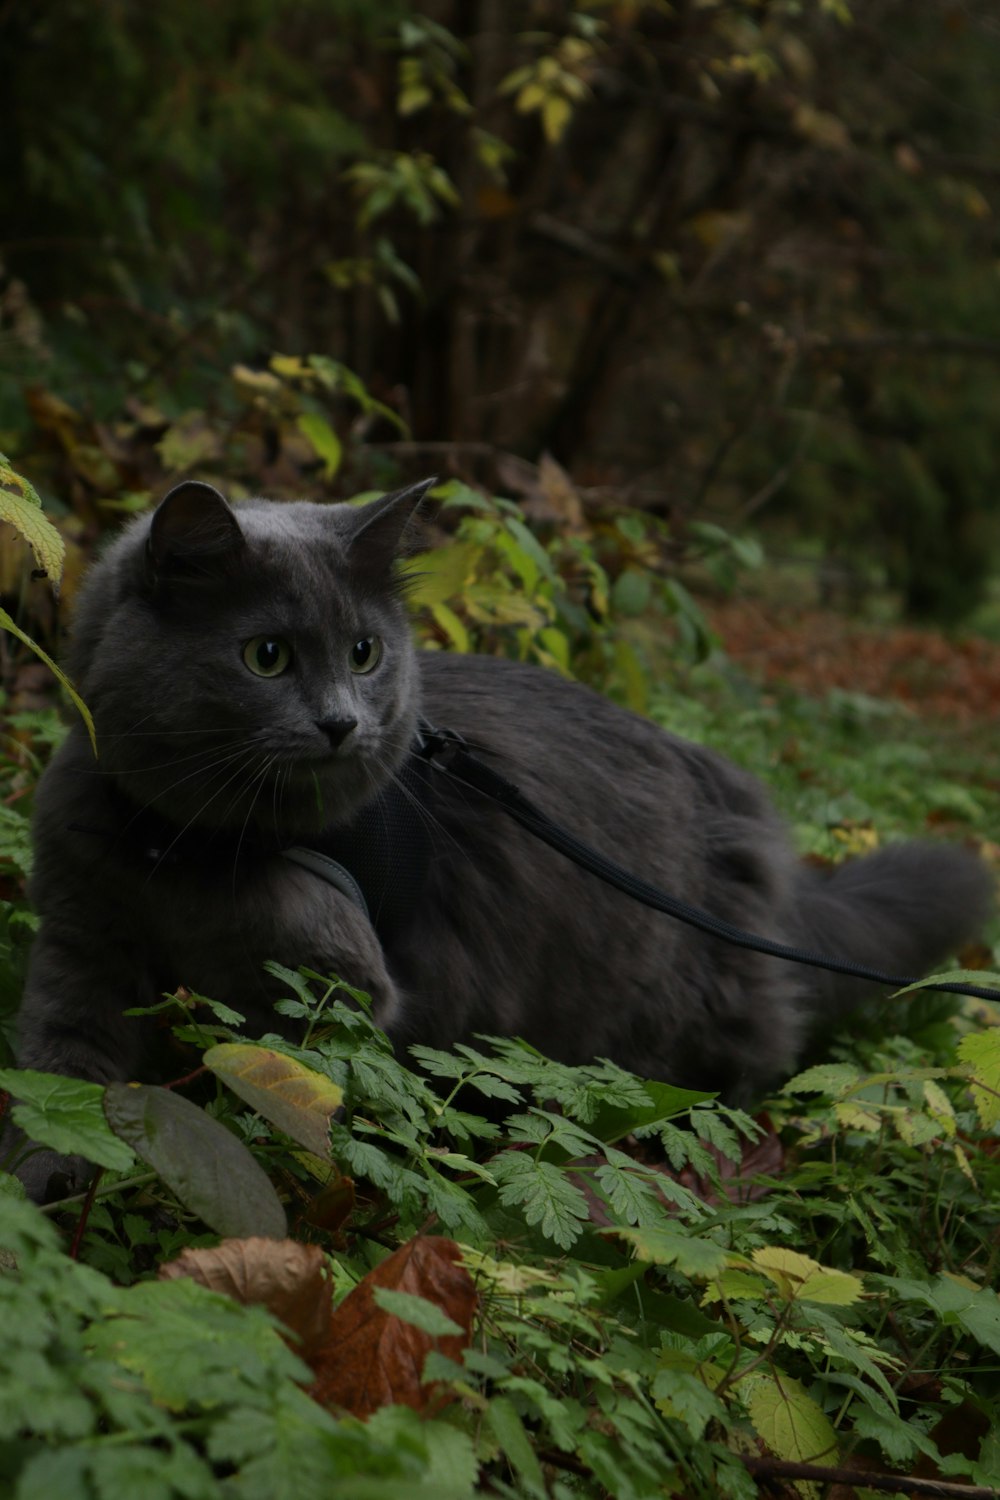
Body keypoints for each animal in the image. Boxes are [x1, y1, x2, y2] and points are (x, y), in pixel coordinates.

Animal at [11, 480, 995, 1194]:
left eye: (365, 654)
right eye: (267, 656)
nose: (340, 723)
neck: (185, 850)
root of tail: (734, 796)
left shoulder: (332, 989)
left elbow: (273, 1090)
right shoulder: (79, 946)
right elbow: (62, 1077)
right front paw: (49, 1185)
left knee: (744, 1068)